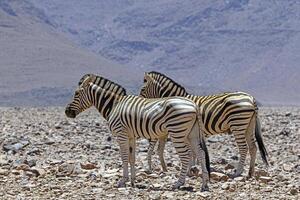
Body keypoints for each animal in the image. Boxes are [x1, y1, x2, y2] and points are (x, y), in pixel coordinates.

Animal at [65, 74, 211, 191]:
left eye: (76, 94)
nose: (67, 112)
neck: (114, 105)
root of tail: (194, 105)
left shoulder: (121, 135)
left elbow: (124, 158)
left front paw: (123, 181)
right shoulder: (131, 137)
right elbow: (132, 158)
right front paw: (132, 181)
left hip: (177, 132)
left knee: (186, 156)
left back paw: (178, 183)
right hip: (191, 134)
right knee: (201, 153)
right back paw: (204, 184)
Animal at [139, 71, 268, 177]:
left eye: (142, 90)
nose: (142, 105)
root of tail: (250, 98)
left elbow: (191, 152)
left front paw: (191, 169)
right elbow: (193, 152)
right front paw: (195, 168)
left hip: (238, 124)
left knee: (244, 147)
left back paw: (238, 172)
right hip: (249, 125)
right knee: (253, 147)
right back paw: (250, 172)